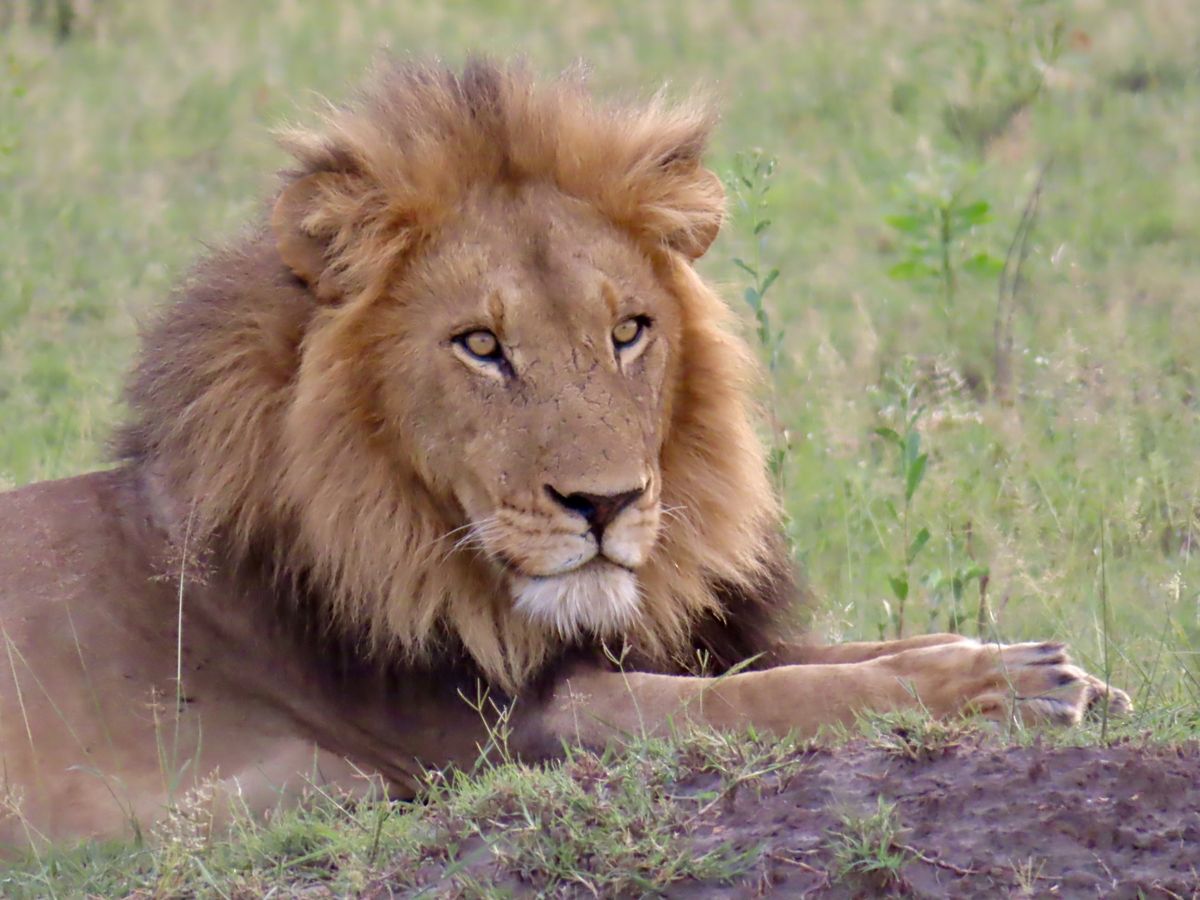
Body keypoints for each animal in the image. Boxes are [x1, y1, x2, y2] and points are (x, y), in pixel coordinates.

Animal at [0, 60, 1128, 848]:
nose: (606, 504)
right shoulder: (496, 732)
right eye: (480, 346)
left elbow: (836, 654)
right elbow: (771, 694)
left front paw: (1058, 674)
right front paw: (1007, 690)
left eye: (628, 331)